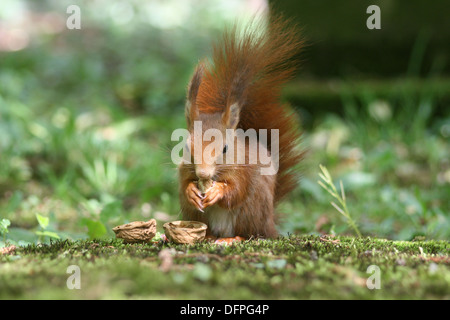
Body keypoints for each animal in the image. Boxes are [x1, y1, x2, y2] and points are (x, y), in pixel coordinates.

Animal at [178, 15, 304, 240]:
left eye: (225, 148)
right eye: (186, 147)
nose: (203, 174)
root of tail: (270, 223)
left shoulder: (244, 170)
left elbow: (236, 190)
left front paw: (218, 191)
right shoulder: (184, 170)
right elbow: (184, 183)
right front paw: (191, 190)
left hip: (252, 208)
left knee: (250, 231)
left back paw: (235, 238)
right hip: (197, 216)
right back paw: (209, 236)